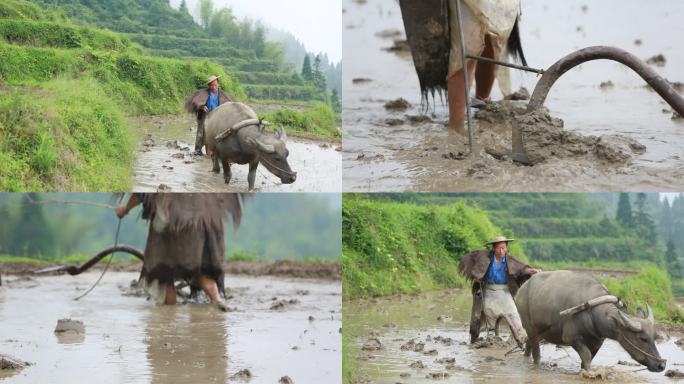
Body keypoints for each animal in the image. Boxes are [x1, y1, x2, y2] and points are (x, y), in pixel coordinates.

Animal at [516, 270, 664, 372]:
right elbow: (586, 356)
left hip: (539, 331)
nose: (661, 365)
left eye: (654, 337)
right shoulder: (571, 338)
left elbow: (588, 359)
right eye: (643, 338)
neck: (593, 313)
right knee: (536, 352)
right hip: (529, 326)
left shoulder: (597, 343)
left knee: (528, 345)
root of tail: (522, 289)